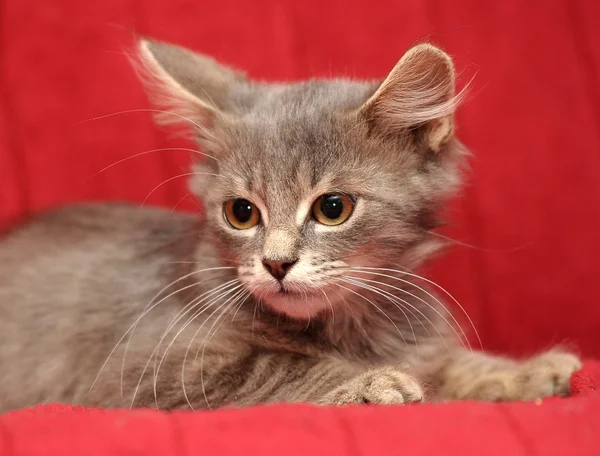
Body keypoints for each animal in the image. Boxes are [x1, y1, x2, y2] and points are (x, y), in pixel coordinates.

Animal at [0, 38, 580, 410]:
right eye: (241, 213)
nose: (276, 263)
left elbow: (453, 362)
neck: (352, 328)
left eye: (333, 209)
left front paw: (523, 371)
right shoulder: (148, 366)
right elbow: (280, 366)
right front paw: (371, 382)